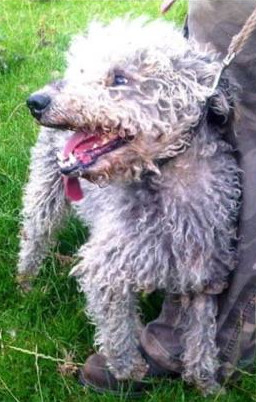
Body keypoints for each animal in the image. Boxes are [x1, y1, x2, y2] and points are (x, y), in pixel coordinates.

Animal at [17, 18, 241, 392]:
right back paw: (25, 282)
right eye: (80, 68)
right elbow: (115, 330)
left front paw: (206, 383)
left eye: (120, 78)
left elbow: (201, 335)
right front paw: (127, 370)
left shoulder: (203, 270)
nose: (36, 100)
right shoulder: (105, 270)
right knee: (35, 235)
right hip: (45, 191)